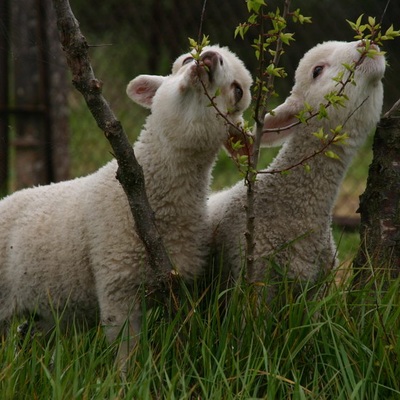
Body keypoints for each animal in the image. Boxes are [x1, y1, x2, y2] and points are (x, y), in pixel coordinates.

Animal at [0, 45, 252, 364]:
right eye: (184, 60)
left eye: (238, 91)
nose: (207, 57)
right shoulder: (117, 287)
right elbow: (126, 357)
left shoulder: (180, 288)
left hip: (45, 313)